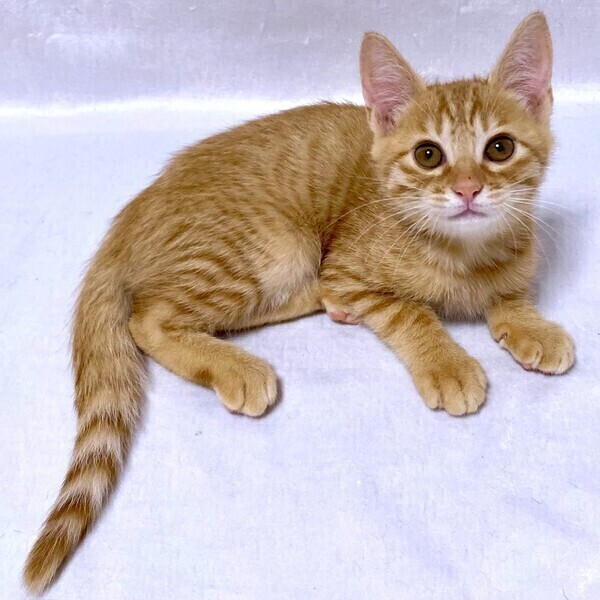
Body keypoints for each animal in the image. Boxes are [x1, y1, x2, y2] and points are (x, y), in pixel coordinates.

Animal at [24, 11, 574, 594]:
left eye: (500, 148)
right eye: (429, 155)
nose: (468, 190)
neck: (466, 256)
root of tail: (134, 210)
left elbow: (511, 294)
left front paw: (532, 326)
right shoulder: (349, 269)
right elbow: (409, 311)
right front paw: (446, 362)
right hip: (273, 247)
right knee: (147, 318)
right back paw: (240, 365)